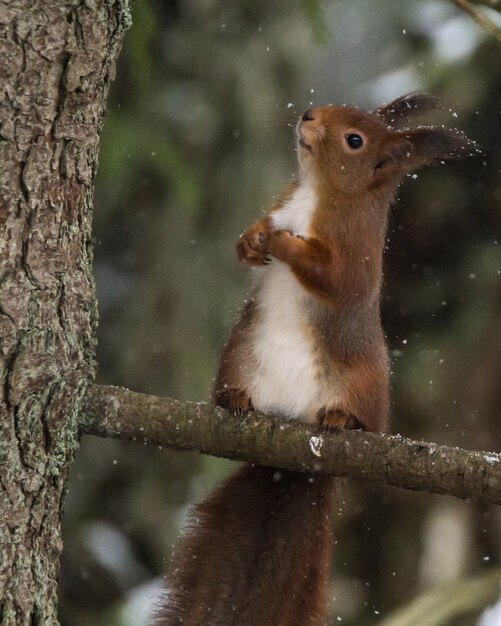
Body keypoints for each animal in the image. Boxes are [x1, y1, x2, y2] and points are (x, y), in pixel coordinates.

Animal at [154, 92, 474, 624]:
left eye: (354, 140)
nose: (307, 116)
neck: (314, 193)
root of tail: (291, 459)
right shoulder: (281, 202)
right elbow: (247, 240)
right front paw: (253, 239)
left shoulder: (356, 251)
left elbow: (335, 279)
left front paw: (284, 243)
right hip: (238, 355)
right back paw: (234, 398)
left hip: (364, 391)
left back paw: (341, 419)